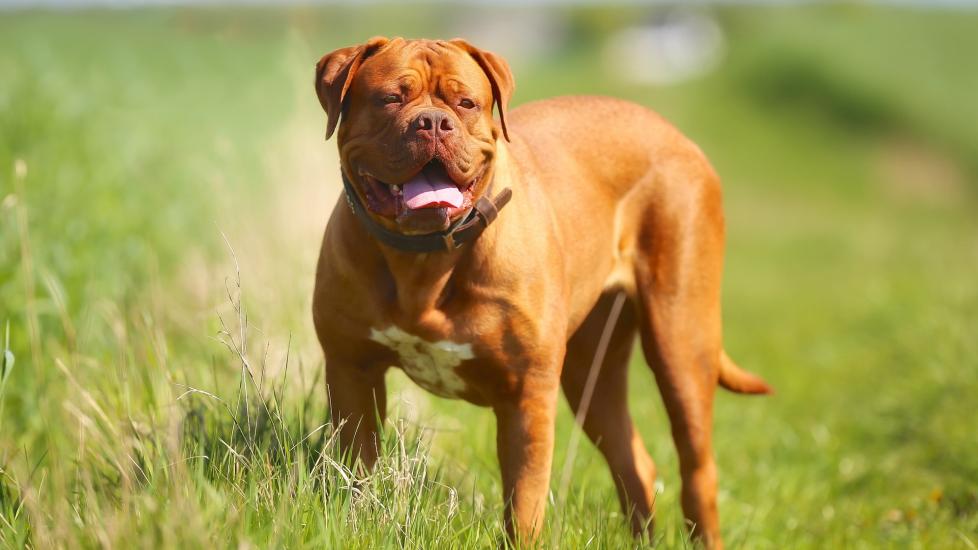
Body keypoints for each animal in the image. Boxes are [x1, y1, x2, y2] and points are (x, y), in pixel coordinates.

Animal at [312, 36, 772, 548]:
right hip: (591, 370)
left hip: (681, 342)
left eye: (465, 103)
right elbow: (356, 472)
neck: (424, 259)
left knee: (698, 471)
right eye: (391, 98)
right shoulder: (352, 371)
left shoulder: (526, 395)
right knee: (633, 461)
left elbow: (524, 503)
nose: (433, 122)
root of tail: (676, 134)